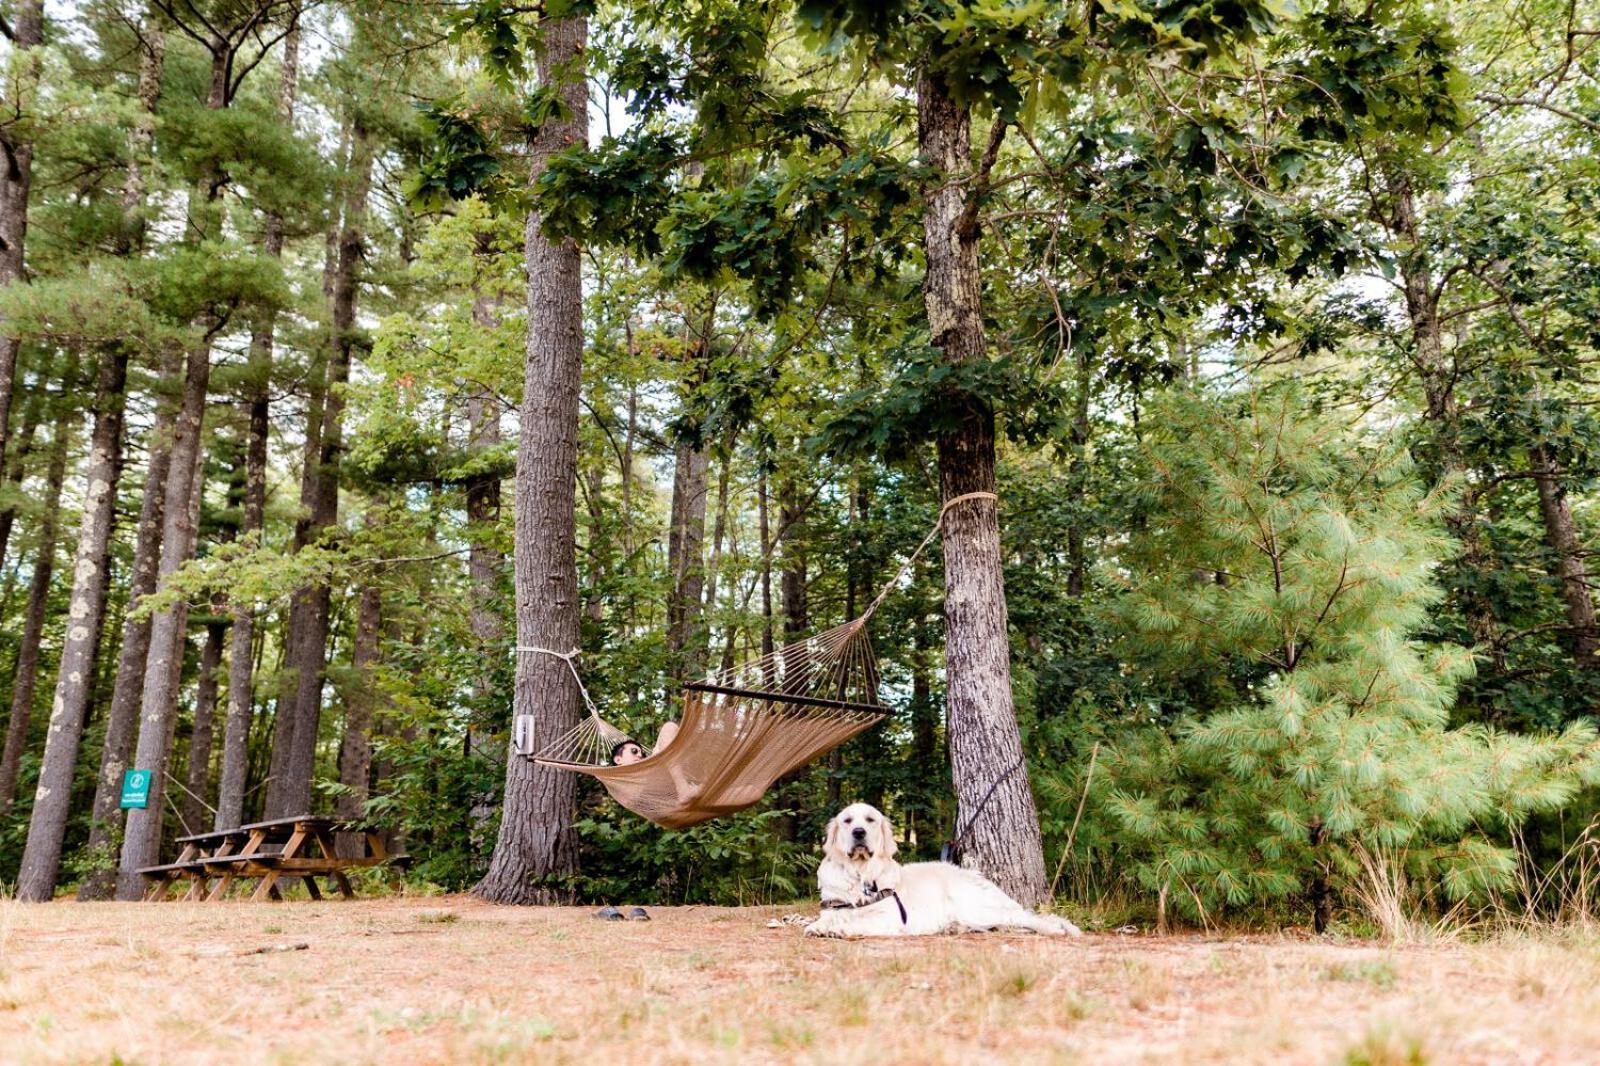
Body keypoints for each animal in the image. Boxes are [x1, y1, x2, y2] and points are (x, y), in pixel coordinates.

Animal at [806, 800, 1081, 934]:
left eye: (870, 820)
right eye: (847, 821)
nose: (859, 832)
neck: (860, 874)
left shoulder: (890, 918)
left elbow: (854, 921)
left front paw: (837, 929)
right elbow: (825, 919)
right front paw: (818, 927)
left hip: (974, 906)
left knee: (1024, 917)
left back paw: (1055, 929)